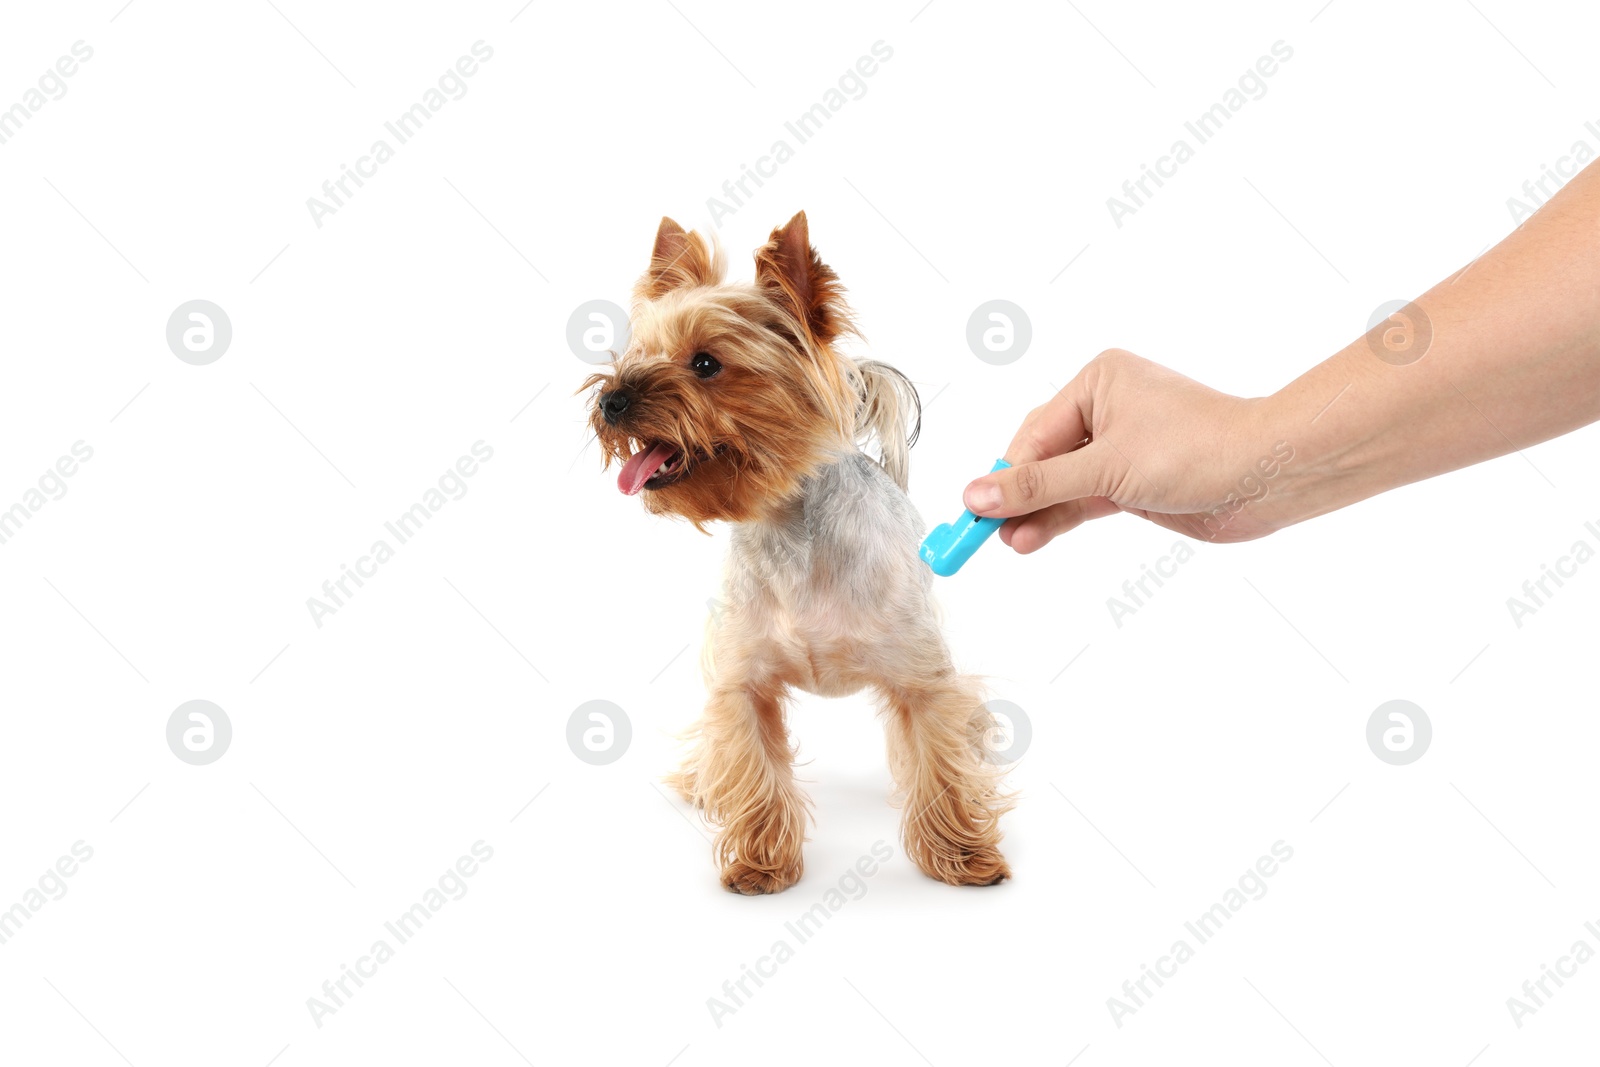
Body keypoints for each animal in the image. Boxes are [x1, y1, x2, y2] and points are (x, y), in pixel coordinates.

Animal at [585, 211, 1011, 895]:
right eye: (635, 354)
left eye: (706, 363)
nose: (611, 399)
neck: (786, 524)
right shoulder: (742, 683)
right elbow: (753, 766)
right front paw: (760, 864)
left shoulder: (923, 679)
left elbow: (939, 762)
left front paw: (962, 855)